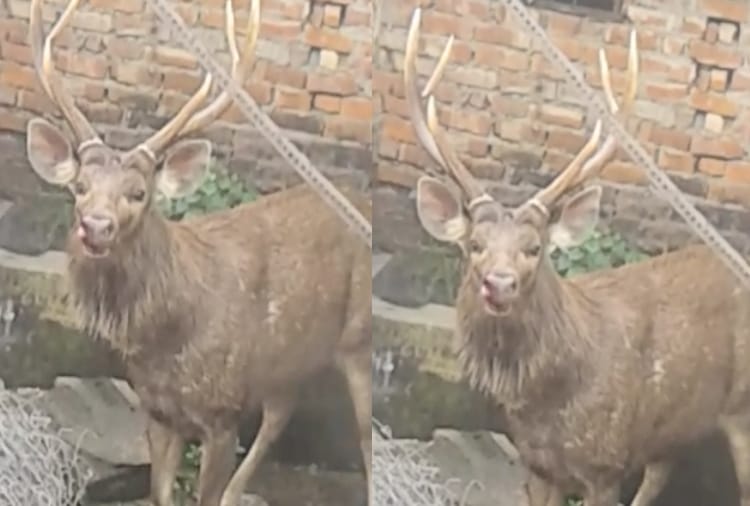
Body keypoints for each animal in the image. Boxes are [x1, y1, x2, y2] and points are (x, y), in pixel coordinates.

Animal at [24, 0, 372, 504]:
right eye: (80, 187)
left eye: (139, 193)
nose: (96, 227)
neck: (169, 337)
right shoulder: (157, 411)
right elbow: (161, 494)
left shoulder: (223, 412)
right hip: (286, 360)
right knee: (281, 412)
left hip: (358, 340)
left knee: (361, 435)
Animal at [404, 8, 750, 506]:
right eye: (475, 245)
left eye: (534, 248)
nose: (499, 284)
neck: (548, 403)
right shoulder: (536, 465)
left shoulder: (606, 464)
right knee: (661, 472)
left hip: (741, 409)